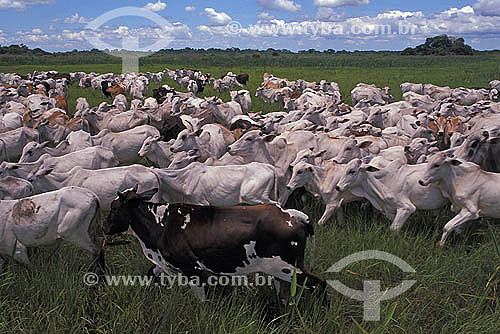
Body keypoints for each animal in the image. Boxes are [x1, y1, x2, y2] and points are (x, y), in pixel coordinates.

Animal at [104, 187, 324, 302]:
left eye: (113, 208)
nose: (104, 228)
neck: (161, 223)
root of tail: (291, 215)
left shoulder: (191, 267)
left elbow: (201, 299)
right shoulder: (166, 261)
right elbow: (150, 274)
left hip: (288, 268)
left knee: (319, 284)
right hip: (282, 273)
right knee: (284, 294)